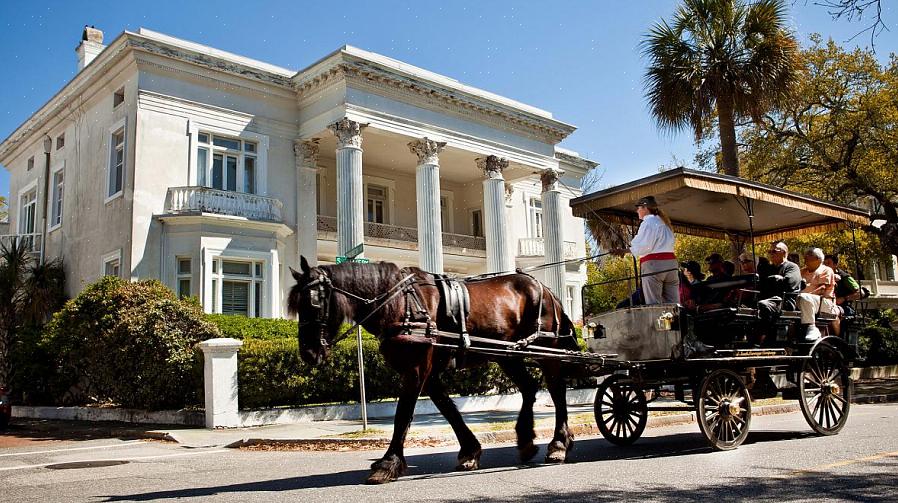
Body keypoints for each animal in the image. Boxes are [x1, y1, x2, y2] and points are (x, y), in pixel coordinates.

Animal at [290, 258, 576, 486]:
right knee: (529, 388)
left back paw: (559, 444)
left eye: (313, 304)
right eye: (295, 304)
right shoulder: (428, 373)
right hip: (507, 354)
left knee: (557, 391)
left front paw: (388, 463)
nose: (308, 352)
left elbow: (403, 415)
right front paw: (470, 450)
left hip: (546, 351)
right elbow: (447, 409)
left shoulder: (416, 369)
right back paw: (526, 439)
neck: (400, 303)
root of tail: (545, 289)